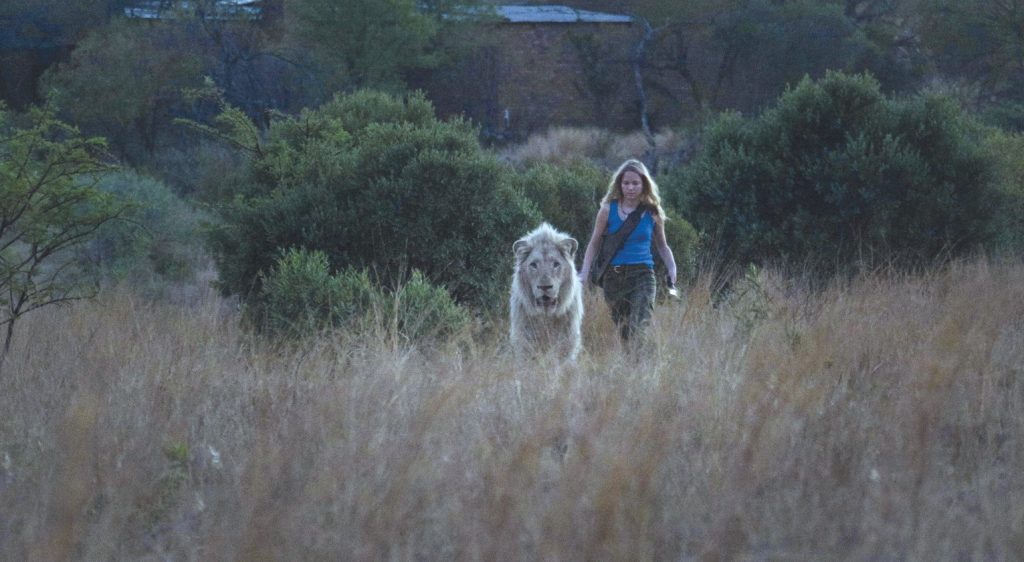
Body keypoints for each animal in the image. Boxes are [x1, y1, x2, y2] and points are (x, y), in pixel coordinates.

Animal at [507, 222, 581, 360]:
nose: (545, 287)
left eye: (556, 264)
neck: (546, 318)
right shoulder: (524, 343)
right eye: (533, 265)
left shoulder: (566, 345)